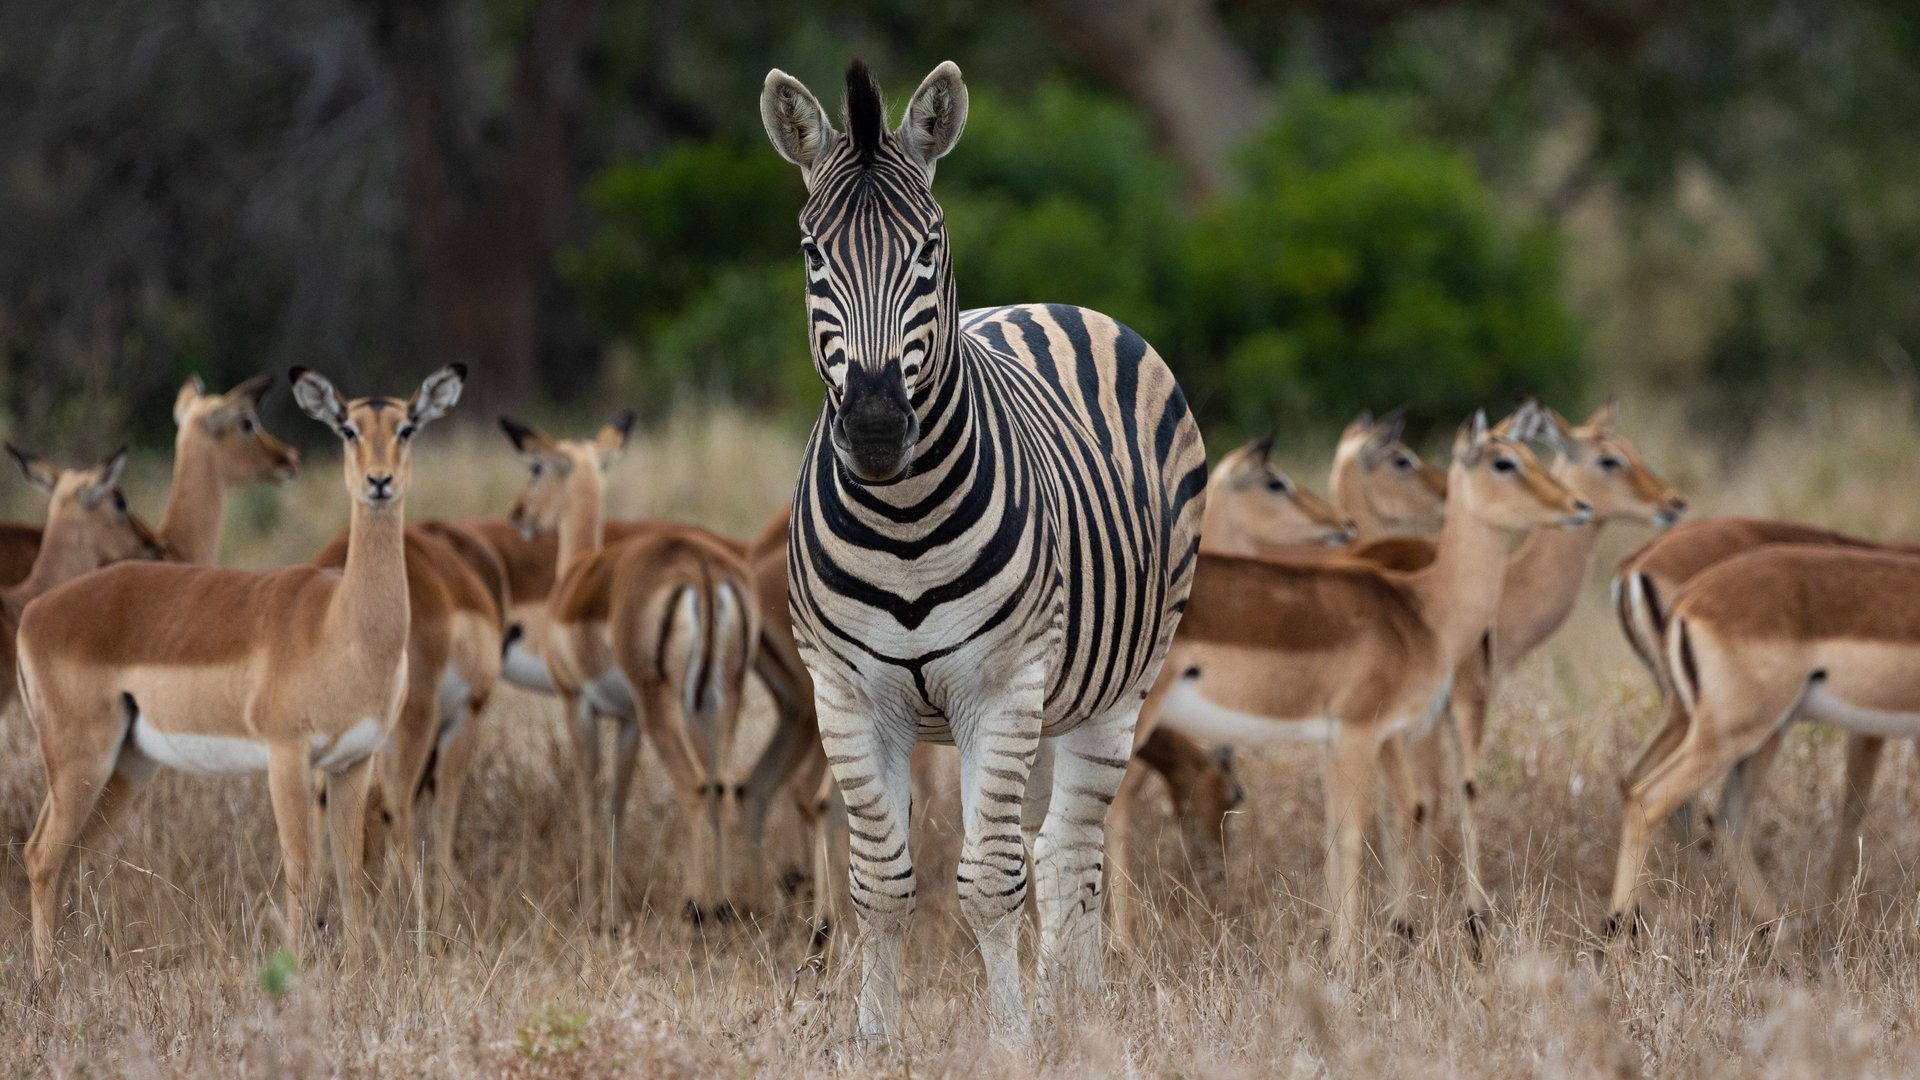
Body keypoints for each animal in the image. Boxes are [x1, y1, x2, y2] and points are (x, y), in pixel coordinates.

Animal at [759, 59, 1207, 1042]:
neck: (904, 524)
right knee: (1044, 842)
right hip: (1048, 694)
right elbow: (881, 883)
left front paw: (1012, 1040)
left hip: (1114, 685)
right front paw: (873, 1039)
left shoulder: (999, 687)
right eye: (812, 254)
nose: (876, 428)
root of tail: (1050, 305)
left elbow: (990, 883)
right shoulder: (844, 693)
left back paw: (1077, 1016)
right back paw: (1059, 1004)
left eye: (929, 248)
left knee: (1068, 848)